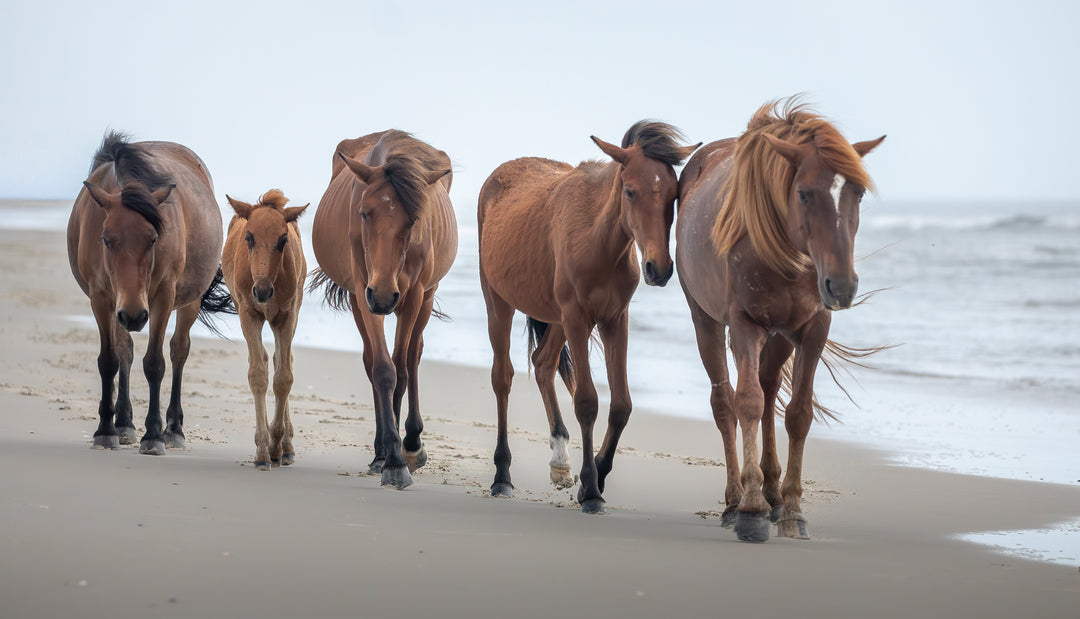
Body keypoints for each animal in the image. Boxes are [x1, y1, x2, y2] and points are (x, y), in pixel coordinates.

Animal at [67, 131, 232, 455]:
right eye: (106, 239)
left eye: (154, 238)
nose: (133, 316)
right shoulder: (101, 298)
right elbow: (109, 360)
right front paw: (106, 430)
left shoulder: (162, 298)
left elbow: (155, 363)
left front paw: (154, 435)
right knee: (125, 352)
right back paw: (124, 424)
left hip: (188, 302)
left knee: (179, 351)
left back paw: (174, 429)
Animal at [221, 190, 308, 470]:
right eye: (249, 237)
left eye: (283, 240)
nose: (261, 291)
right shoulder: (248, 314)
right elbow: (258, 374)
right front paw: (261, 452)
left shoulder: (287, 315)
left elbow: (284, 377)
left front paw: (276, 447)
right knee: (265, 359)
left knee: (283, 359)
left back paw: (287, 448)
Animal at [309, 130, 456, 490]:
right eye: (364, 212)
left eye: (414, 219)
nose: (384, 295)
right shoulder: (364, 291)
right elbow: (382, 370)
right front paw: (390, 459)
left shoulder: (413, 295)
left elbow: (401, 369)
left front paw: (403, 454)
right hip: (358, 297)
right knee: (372, 361)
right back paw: (380, 453)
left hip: (425, 296)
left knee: (414, 355)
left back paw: (412, 442)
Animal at [478, 121, 699, 514]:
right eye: (630, 191)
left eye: (673, 195)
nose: (658, 269)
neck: (598, 239)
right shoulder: (577, 319)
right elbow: (587, 402)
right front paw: (592, 490)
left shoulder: (615, 320)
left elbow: (621, 405)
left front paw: (592, 478)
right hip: (500, 303)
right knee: (502, 378)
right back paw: (502, 476)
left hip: (557, 320)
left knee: (542, 363)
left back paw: (560, 463)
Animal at [675, 98, 885, 541]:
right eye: (804, 193)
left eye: (857, 193)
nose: (842, 286)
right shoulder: (744, 325)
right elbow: (747, 403)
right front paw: (751, 509)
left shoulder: (812, 329)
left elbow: (798, 413)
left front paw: (791, 509)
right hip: (706, 320)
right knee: (726, 402)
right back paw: (735, 500)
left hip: (780, 335)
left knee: (771, 390)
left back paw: (772, 493)